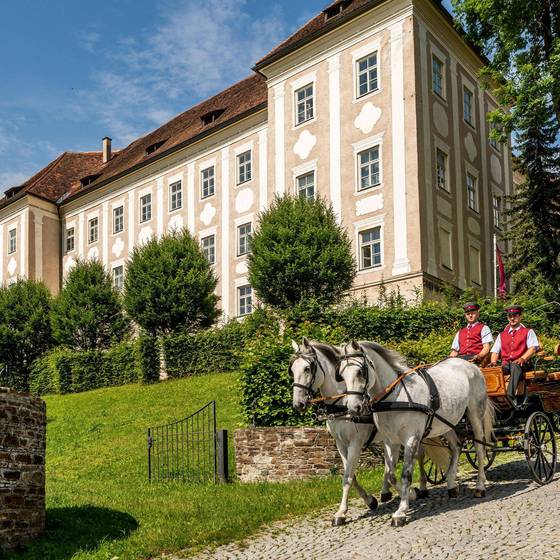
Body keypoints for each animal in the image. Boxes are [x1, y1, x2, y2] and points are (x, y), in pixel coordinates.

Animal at [290, 340, 448, 528]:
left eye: (308, 368)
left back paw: (421, 487)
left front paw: (341, 513)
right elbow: (351, 475)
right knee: (392, 463)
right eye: (292, 369)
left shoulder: (355, 443)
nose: (297, 404)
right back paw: (386, 492)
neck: (342, 403)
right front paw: (369, 500)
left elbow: (348, 476)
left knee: (419, 456)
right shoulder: (340, 444)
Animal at [334, 340, 492, 528]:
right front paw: (412, 494)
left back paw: (480, 486)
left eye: (360, 371)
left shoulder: (411, 438)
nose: (353, 408)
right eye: (341, 374)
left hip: (475, 413)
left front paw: (401, 511)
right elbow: (390, 474)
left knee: (479, 447)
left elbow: (406, 474)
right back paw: (452, 484)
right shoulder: (390, 441)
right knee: (456, 446)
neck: (395, 397)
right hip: (447, 423)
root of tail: (470, 365)